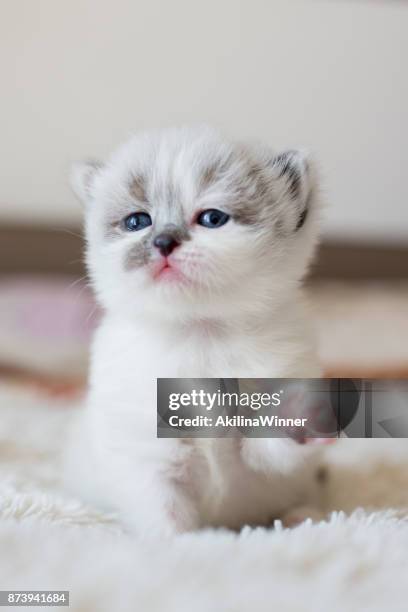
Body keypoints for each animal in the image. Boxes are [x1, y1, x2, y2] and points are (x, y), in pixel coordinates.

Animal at [67, 125, 326, 536]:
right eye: (137, 222)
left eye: (212, 218)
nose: (163, 242)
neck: (201, 335)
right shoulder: (146, 449)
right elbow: (162, 505)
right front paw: (179, 545)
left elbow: (272, 450)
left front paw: (303, 419)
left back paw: (302, 517)